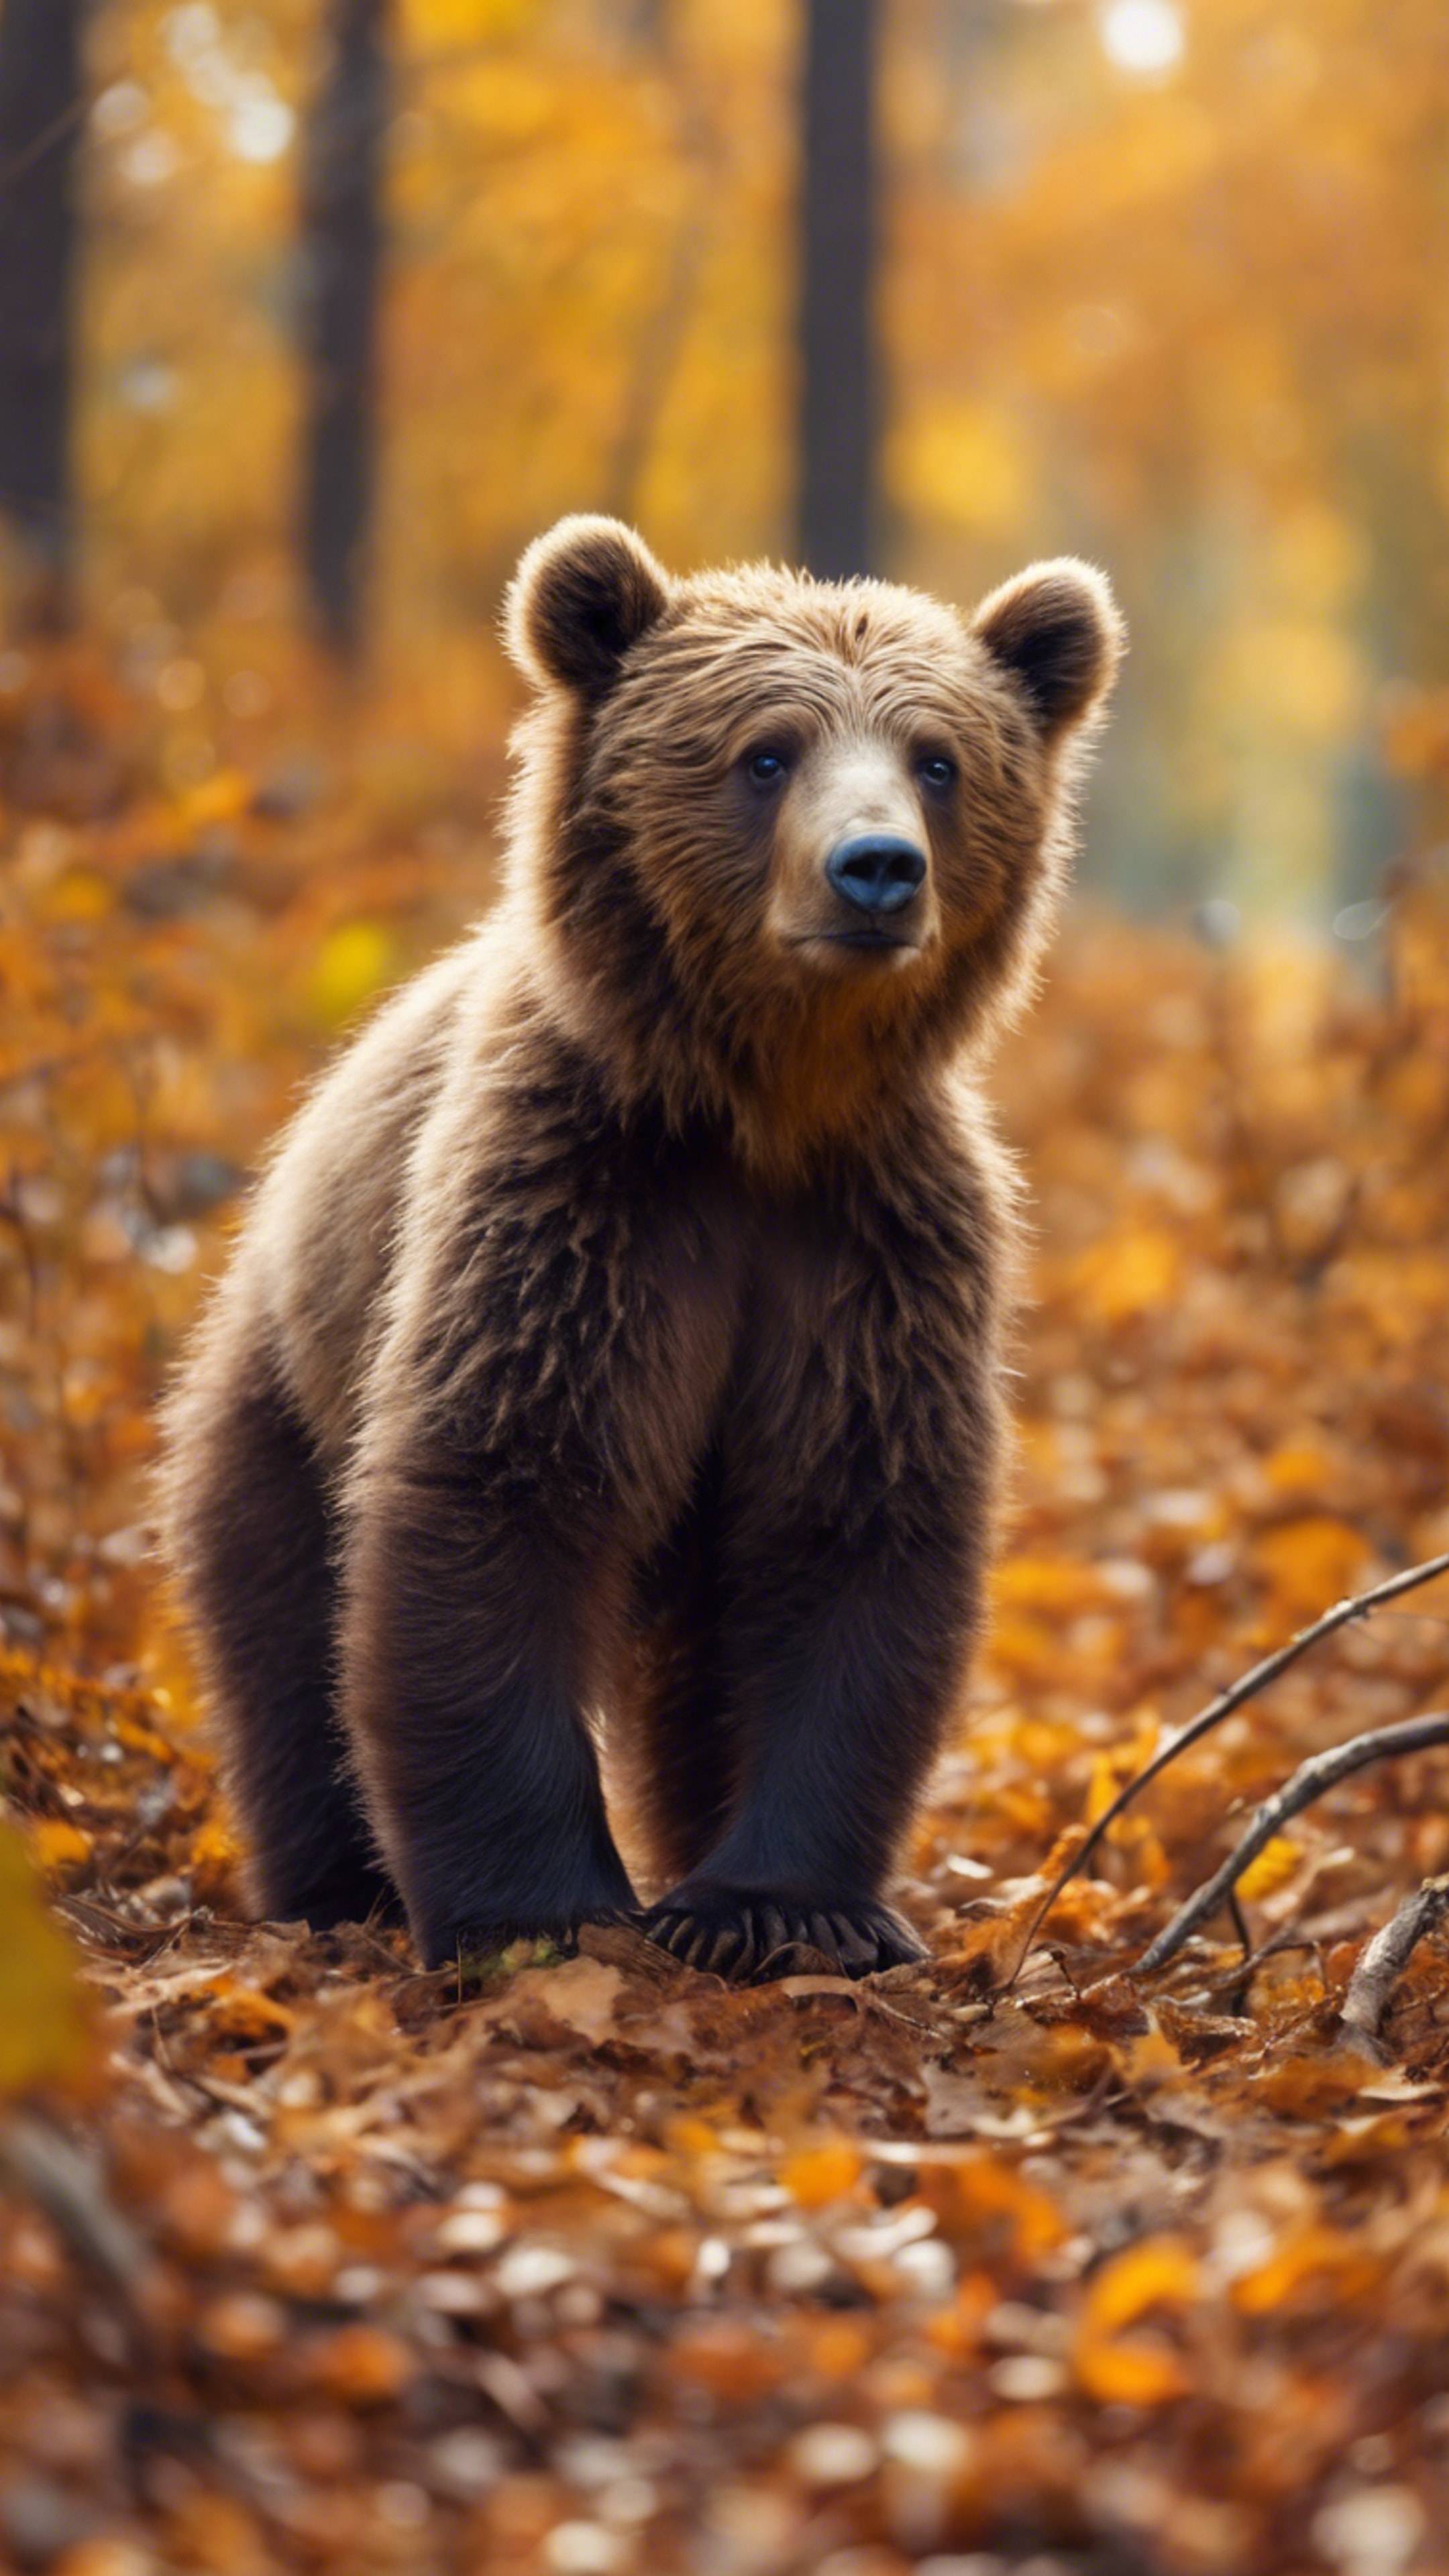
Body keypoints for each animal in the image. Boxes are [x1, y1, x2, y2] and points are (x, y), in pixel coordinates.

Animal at [164, 513, 1124, 1978]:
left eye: (939, 760)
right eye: (767, 751)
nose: (877, 869)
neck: (762, 1114)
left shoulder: (869, 1251)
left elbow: (850, 1525)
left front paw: (783, 1906)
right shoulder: (584, 1205)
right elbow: (507, 1485)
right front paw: (539, 1907)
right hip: (282, 1391)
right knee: (284, 1636)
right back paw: (336, 1888)